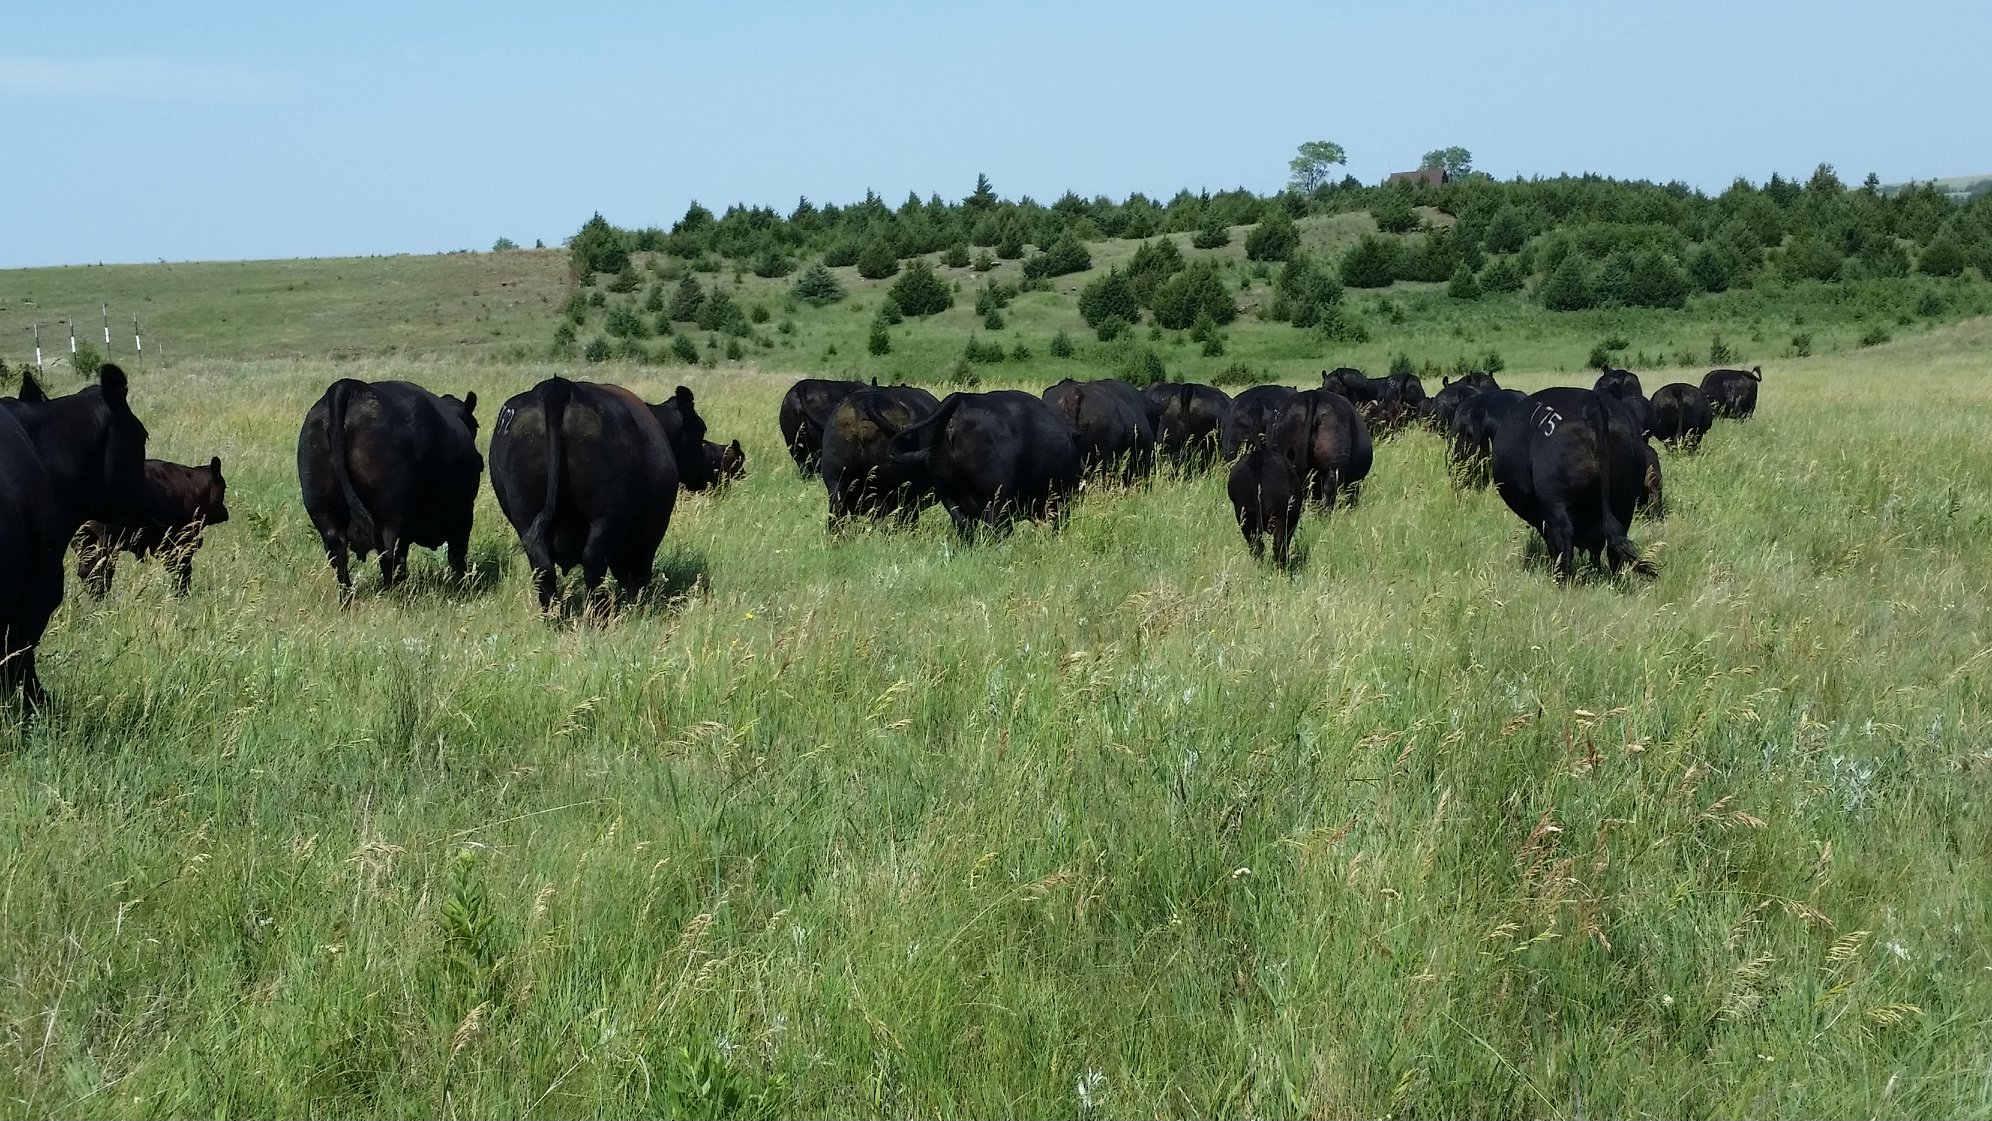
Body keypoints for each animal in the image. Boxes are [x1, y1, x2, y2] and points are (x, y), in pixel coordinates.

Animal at [75, 456, 229, 597]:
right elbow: (182, 570)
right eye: (224, 488)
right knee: (100, 570)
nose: (225, 513)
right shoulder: (180, 542)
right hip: (107, 542)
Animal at [297, 379, 484, 594]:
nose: (480, 461)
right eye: (476, 426)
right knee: (390, 553)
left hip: (322, 509)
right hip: (391, 513)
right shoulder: (463, 510)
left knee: (338, 553)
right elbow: (457, 554)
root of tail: (349, 386)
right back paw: (395, 591)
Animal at [490, 378, 710, 612]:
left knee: (543, 568)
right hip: (605, 516)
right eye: (701, 429)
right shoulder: (652, 526)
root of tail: (557, 386)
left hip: (525, 516)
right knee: (594, 562)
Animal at [1491, 387, 1655, 581]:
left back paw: (1561, 579)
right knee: (1614, 542)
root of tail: (1593, 404)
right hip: (1625, 501)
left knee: (1564, 537)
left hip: (1557, 501)